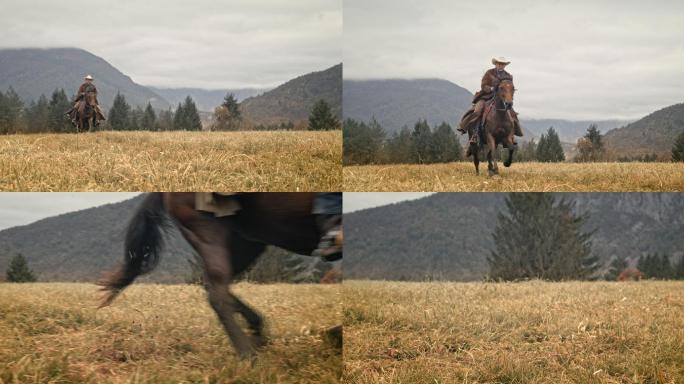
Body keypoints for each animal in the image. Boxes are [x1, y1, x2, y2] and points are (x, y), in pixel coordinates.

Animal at [98, 194, 340, 358]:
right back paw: (249, 355)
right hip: (209, 230)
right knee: (217, 294)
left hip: (247, 242)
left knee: (215, 287)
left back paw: (257, 331)